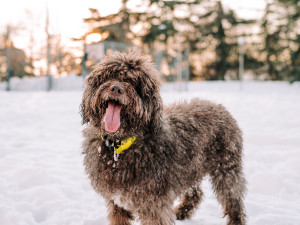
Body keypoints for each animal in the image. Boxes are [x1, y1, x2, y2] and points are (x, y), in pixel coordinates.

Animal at [81, 51, 246, 225]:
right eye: (109, 75)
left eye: (135, 83)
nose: (116, 88)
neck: (121, 145)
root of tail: (220, 108)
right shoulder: (116, 203)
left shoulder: (154, 206)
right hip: (190, 168)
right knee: (196, 192)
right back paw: (182, 212)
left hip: (226, 169)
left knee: (233, 200)